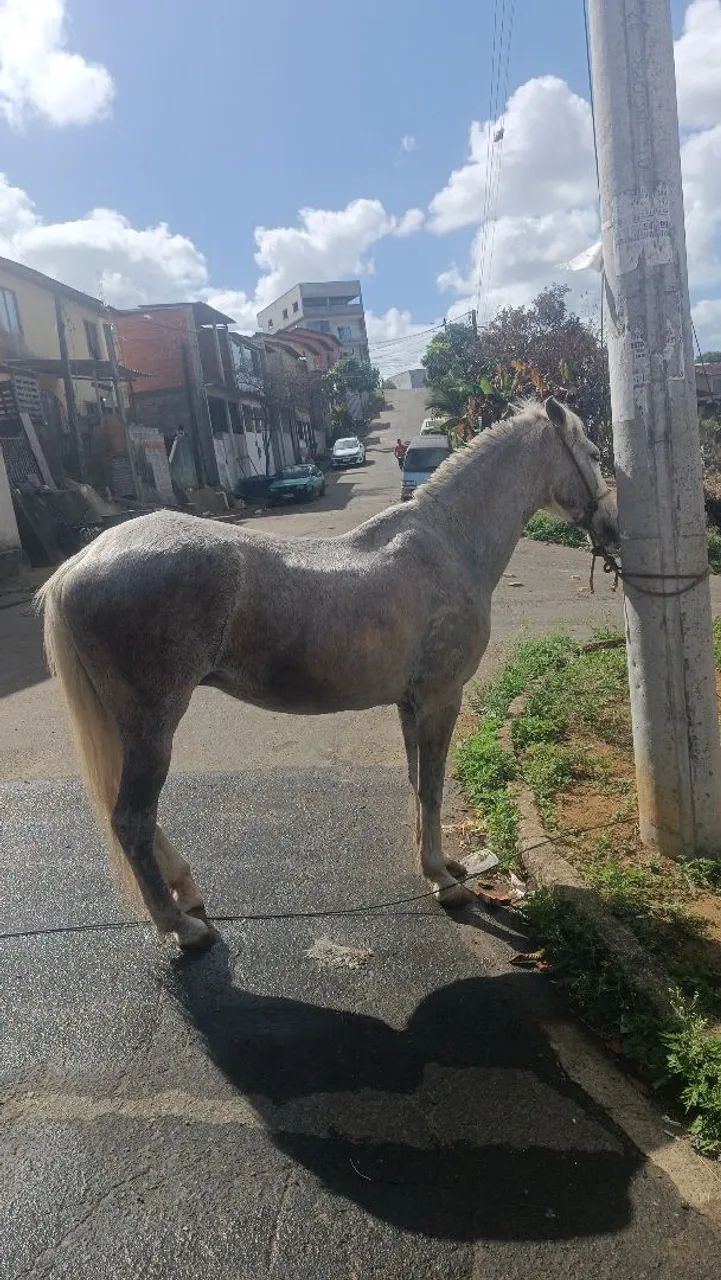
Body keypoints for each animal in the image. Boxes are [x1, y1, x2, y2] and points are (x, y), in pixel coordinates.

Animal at [37, 396, 618, 951]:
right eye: (594, 454)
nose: (613, 528)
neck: (448, 544)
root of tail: (79, 562)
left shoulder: (410, 702)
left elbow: (416, 782)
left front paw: (438, 865)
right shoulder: (441, 697)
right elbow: (432, 786)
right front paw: (445, 883)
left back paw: (186, 891)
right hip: (154, 722)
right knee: (131, 820)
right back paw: (183, 928)